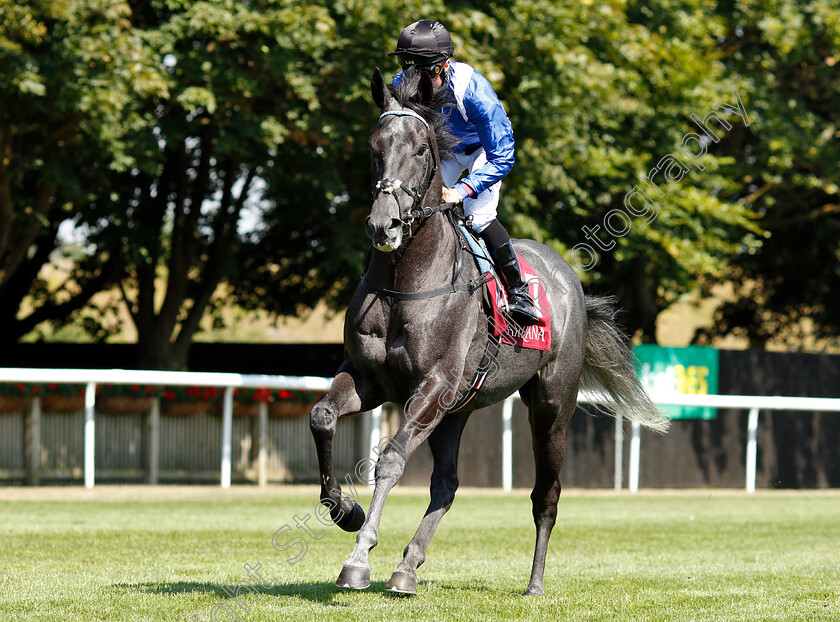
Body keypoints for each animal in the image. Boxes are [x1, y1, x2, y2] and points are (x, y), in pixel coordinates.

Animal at [308, 66, 668, 596]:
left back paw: (535, 583)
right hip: (455, 411)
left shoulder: (432, 385)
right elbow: (323, 417)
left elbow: (389, 460)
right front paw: (346, 512)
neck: (406, 281)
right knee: (447, 485)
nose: (384, 225)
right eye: (374, 146)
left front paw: (358, 558)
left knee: (546, 494)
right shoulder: (371, 378)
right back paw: (407, 567)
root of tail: (568, 278)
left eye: (421, 149)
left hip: (551, 406)